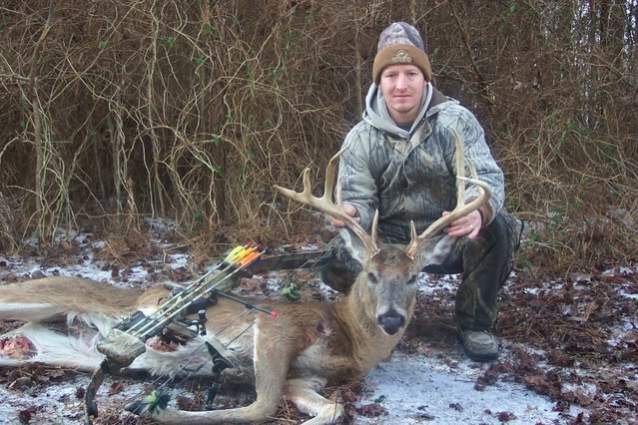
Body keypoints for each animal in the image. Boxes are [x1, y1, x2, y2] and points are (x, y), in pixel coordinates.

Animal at [0, 132, 492, 420]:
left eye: (414, 277)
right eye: (370, 274)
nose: (391, 319)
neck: (352, 339)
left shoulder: (306, 378)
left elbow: (331, 409)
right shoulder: (275, 327)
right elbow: (261, 405)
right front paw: (157, 409)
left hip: (42, 346)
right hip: (45, 292)